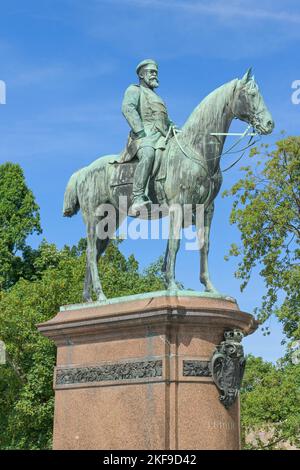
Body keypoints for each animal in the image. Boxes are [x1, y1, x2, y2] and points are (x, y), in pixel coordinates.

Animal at [63, 69, 274, 304]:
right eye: (251, 95)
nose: (269, 124)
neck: (198, 150)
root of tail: (83, 171)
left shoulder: (206, 209)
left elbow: (203, 245)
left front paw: (210, 288)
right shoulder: (178, 206)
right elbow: (175, 243)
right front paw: (172, 286)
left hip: (112, 219)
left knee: (93, 254)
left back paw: (87, 299)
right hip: (94, 217)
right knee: (91, 253)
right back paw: (100, 295)